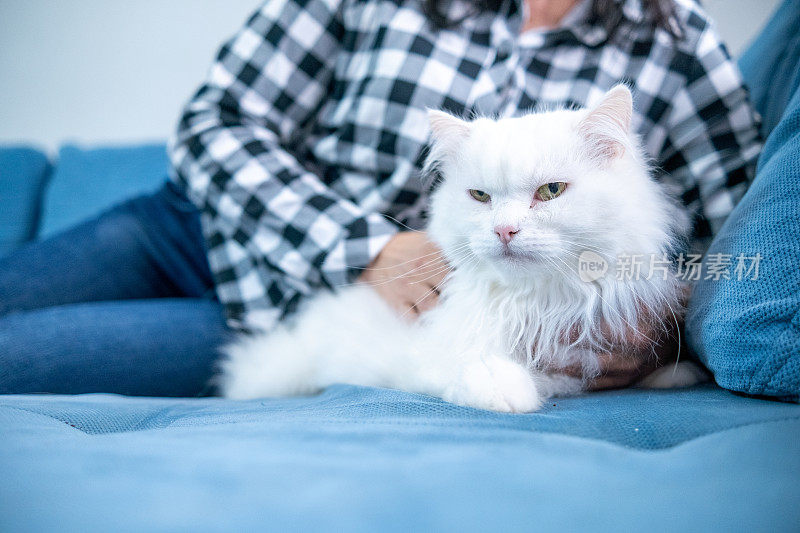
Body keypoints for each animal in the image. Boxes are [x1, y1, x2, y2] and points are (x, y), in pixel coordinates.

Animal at [217, 86, 700, 412]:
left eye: (551, 191)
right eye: (480, 197)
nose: (504, 230)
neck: (540, 300)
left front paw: (677, 372)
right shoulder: (427, 348)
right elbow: (475, 365)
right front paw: (510, 391)